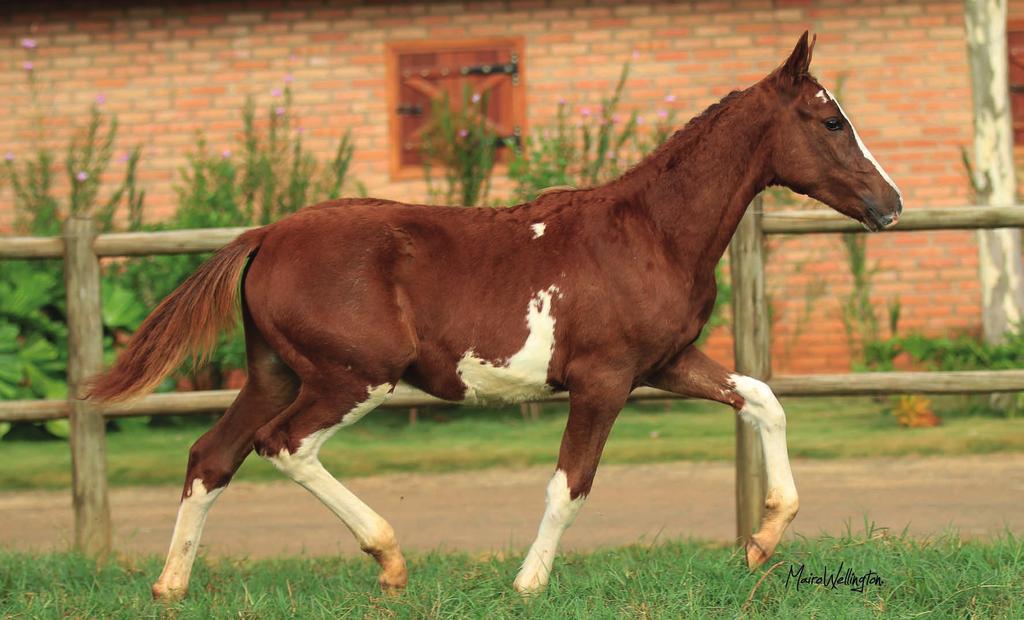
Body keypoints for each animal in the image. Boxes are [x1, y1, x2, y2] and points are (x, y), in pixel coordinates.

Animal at [92, 31, 901, 598]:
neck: (648, 231)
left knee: (211, 457)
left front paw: (764, 538)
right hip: (352, 377)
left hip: (275, 375)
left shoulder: (665, 364)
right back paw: (389, 559)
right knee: (282, 447)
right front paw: (528, 584)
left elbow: (762, 398)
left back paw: (170, 585)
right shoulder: (604, 380)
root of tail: (265, 236)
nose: (890, 204)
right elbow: (570, 484)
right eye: (831, 122)